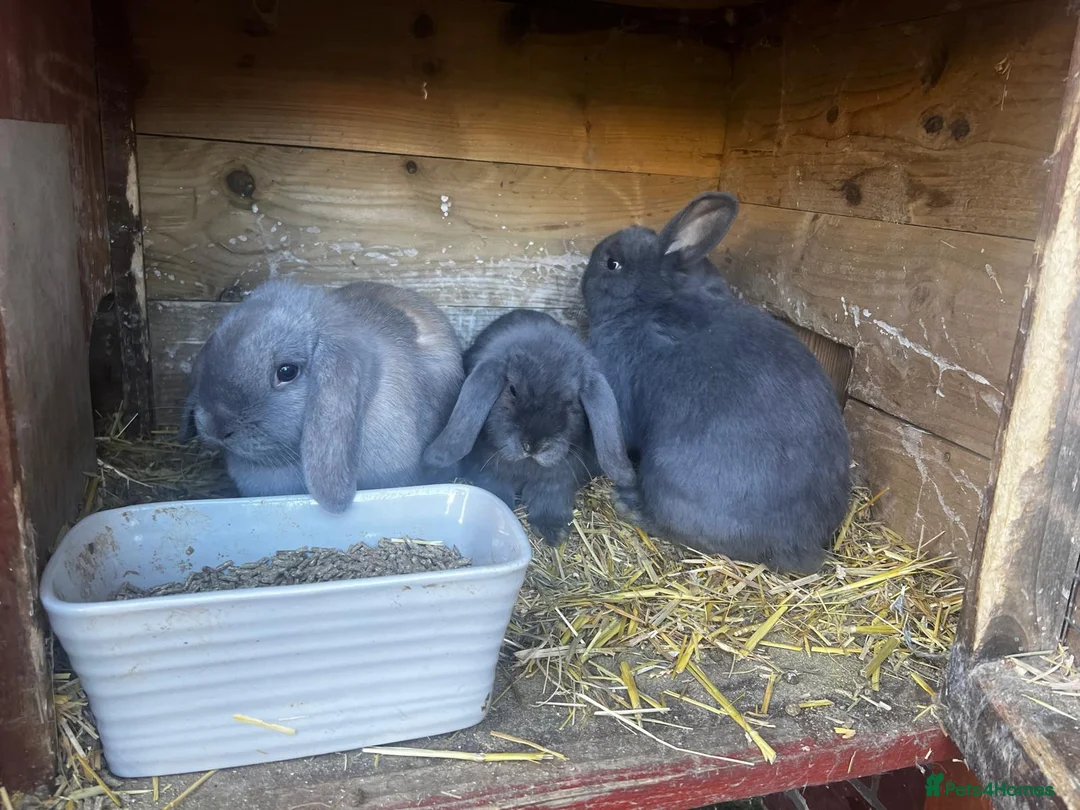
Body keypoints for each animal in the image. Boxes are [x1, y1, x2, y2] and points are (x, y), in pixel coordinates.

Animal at [422, 309, 635, 545]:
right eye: (513, 390)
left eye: (570, 400)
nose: (533, 445)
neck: (527, 466)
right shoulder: (488, 471)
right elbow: (496, 490)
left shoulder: (558, 478)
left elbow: (551, 497)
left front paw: (554, 531)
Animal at [580, 192, 851, 574]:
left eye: (612, 263)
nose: (585, 267)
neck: (653, 300)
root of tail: (799, 546)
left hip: (667, 478)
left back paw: (629, 505)